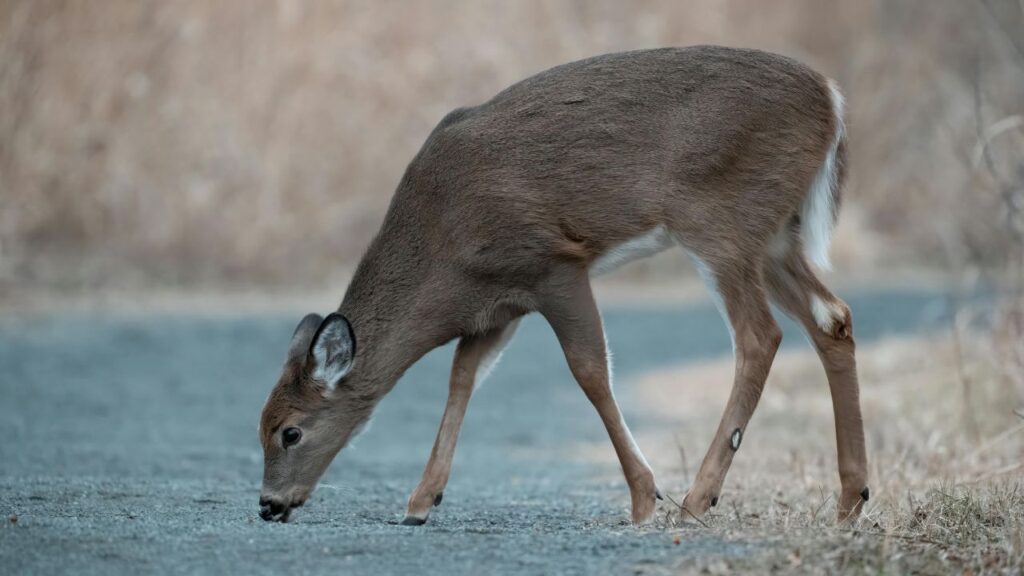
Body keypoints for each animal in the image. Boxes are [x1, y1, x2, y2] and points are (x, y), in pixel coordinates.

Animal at [257, 46, 869, 526]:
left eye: (289, 432)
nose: (267, 504)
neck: (442, 246)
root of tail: (833, 100)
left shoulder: (551, 264)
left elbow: (590, 371)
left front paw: (644, 498)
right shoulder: (496, 306)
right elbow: (462, 380)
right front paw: (421, 501)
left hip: (720, 222)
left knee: (760, 335)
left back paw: (698, 499)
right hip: (776, 235)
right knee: (832, 318)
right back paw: (850, 500)